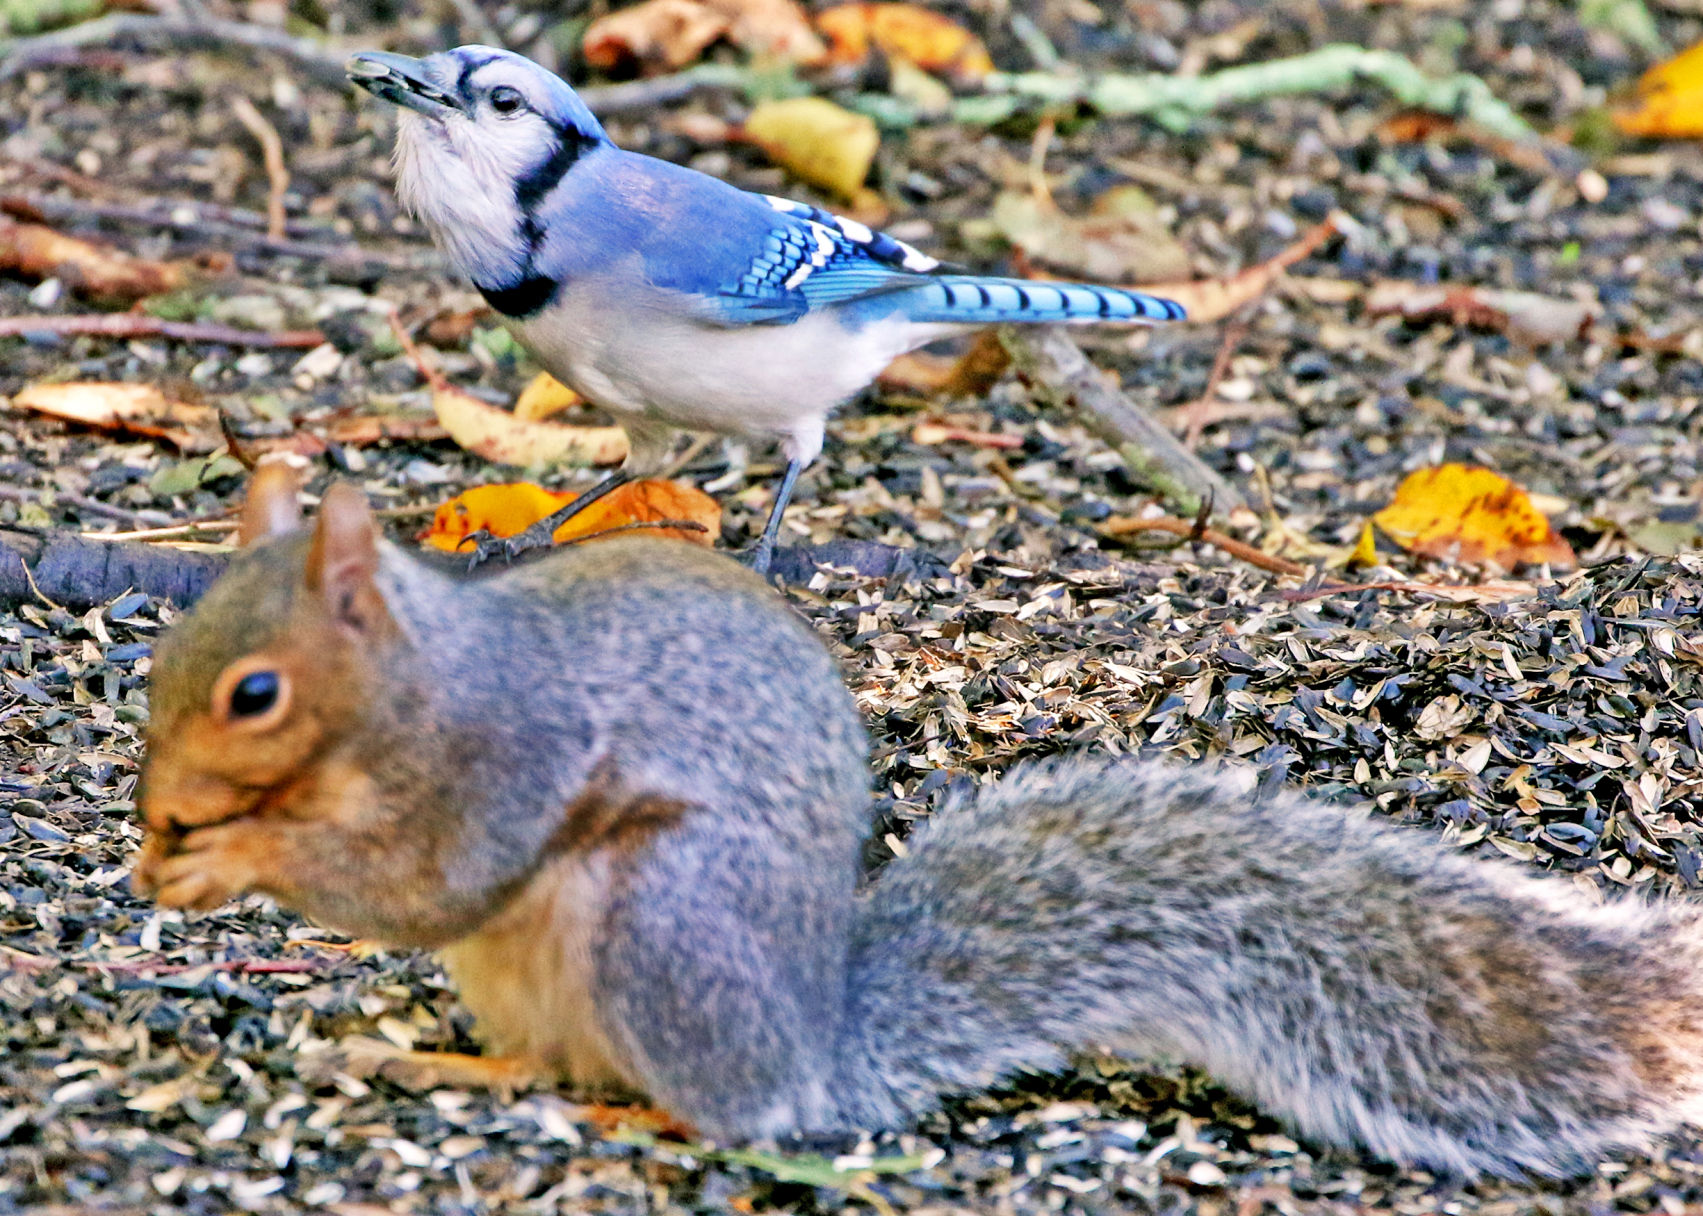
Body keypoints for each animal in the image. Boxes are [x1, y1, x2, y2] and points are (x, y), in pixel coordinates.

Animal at [132, 470, 1703, 1178]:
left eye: (255, 692)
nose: (154, 814)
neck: (412, 685)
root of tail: (810, 1047)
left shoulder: (504, 759)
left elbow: (427, 879)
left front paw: (230, 856)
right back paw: (408, 1052)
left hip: (657, 921)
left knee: (680, 1099)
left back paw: (558, 1094)